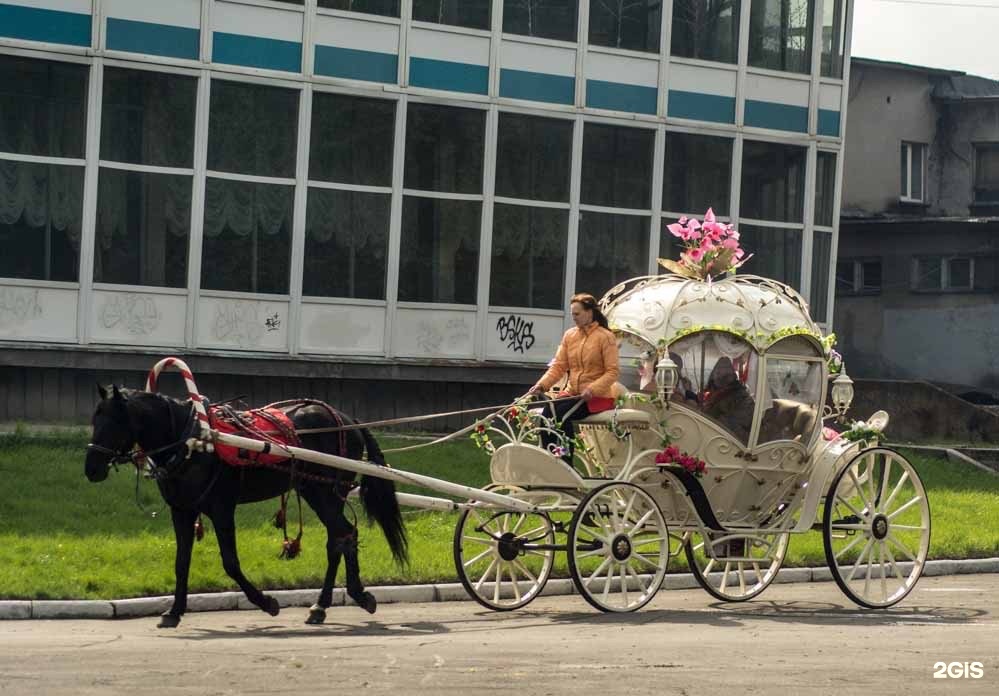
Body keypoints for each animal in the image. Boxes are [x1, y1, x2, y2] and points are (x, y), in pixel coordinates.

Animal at [85, 384, 406, 628]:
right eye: (94, 420)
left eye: (114, 422)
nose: (91, 470)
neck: (195, 441)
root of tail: (347, 418)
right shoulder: (183, 510)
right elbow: (181, 562)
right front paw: (174, 612)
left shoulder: (222, 508)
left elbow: (230, 562)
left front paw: (266, 602)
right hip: (314, 491)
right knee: (339, 537)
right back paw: (326, 604)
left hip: (326, 491)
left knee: (344, 535)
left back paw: (351, 597)